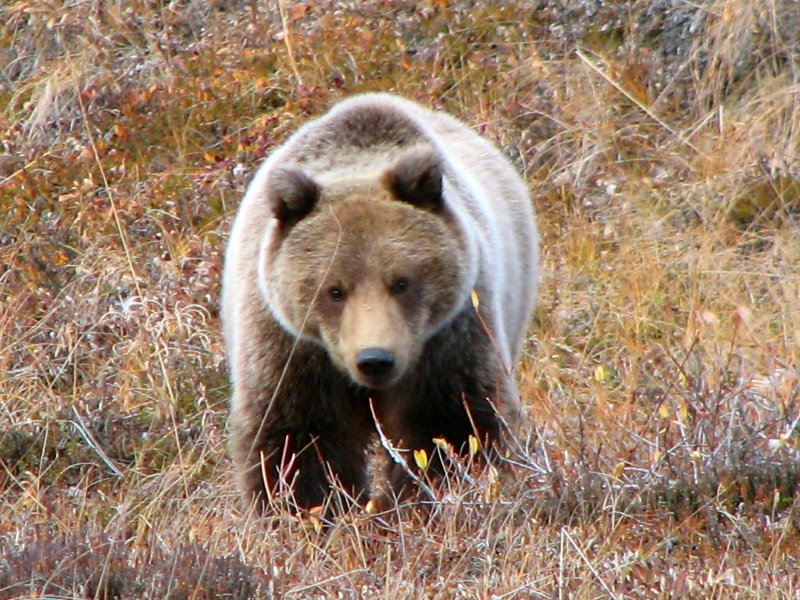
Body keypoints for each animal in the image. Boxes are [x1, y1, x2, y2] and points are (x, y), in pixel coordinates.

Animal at [222, 94, 540, 516]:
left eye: (402, 282)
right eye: (334, 290)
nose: (375, 359)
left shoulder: (449, 340)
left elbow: (452, 427)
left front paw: (421, 502)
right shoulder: (293, 350)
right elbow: (298, 441)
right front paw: (308, 511)